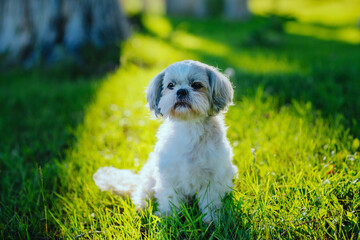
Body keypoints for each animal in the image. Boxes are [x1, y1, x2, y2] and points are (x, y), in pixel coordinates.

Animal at [94, 60, 238, 223]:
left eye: (196, 85)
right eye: (170, 85)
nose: (181, 91)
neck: (188, 126)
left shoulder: (213, 178)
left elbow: (210, 202)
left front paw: (211, 221)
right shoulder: (169, 176)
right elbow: (170, 199)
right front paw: (168, 218)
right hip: (149, 179)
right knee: (140, 194)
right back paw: (141, 209)